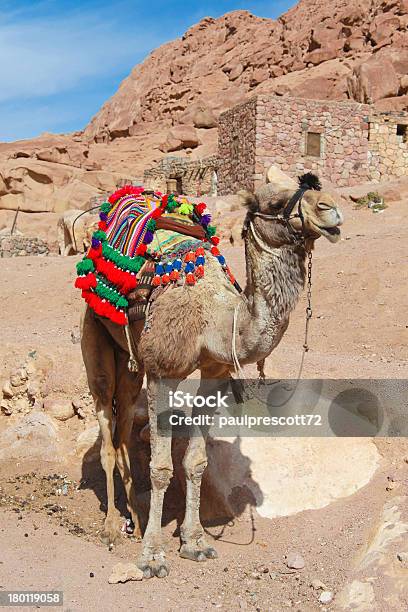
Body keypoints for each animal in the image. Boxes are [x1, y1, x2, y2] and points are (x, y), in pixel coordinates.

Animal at [79, 173, 342, 580]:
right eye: (273, 202)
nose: (330, 209)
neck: (216, 319)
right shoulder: (162, 371)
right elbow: (160, 467)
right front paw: (152, 556)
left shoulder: (214, 372)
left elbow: (196, 463)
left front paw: (195, 542)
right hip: (94, 334)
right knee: (106, 427)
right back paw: (110, 530)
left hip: (130, 359)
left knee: (122, 428)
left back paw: (134, 521)